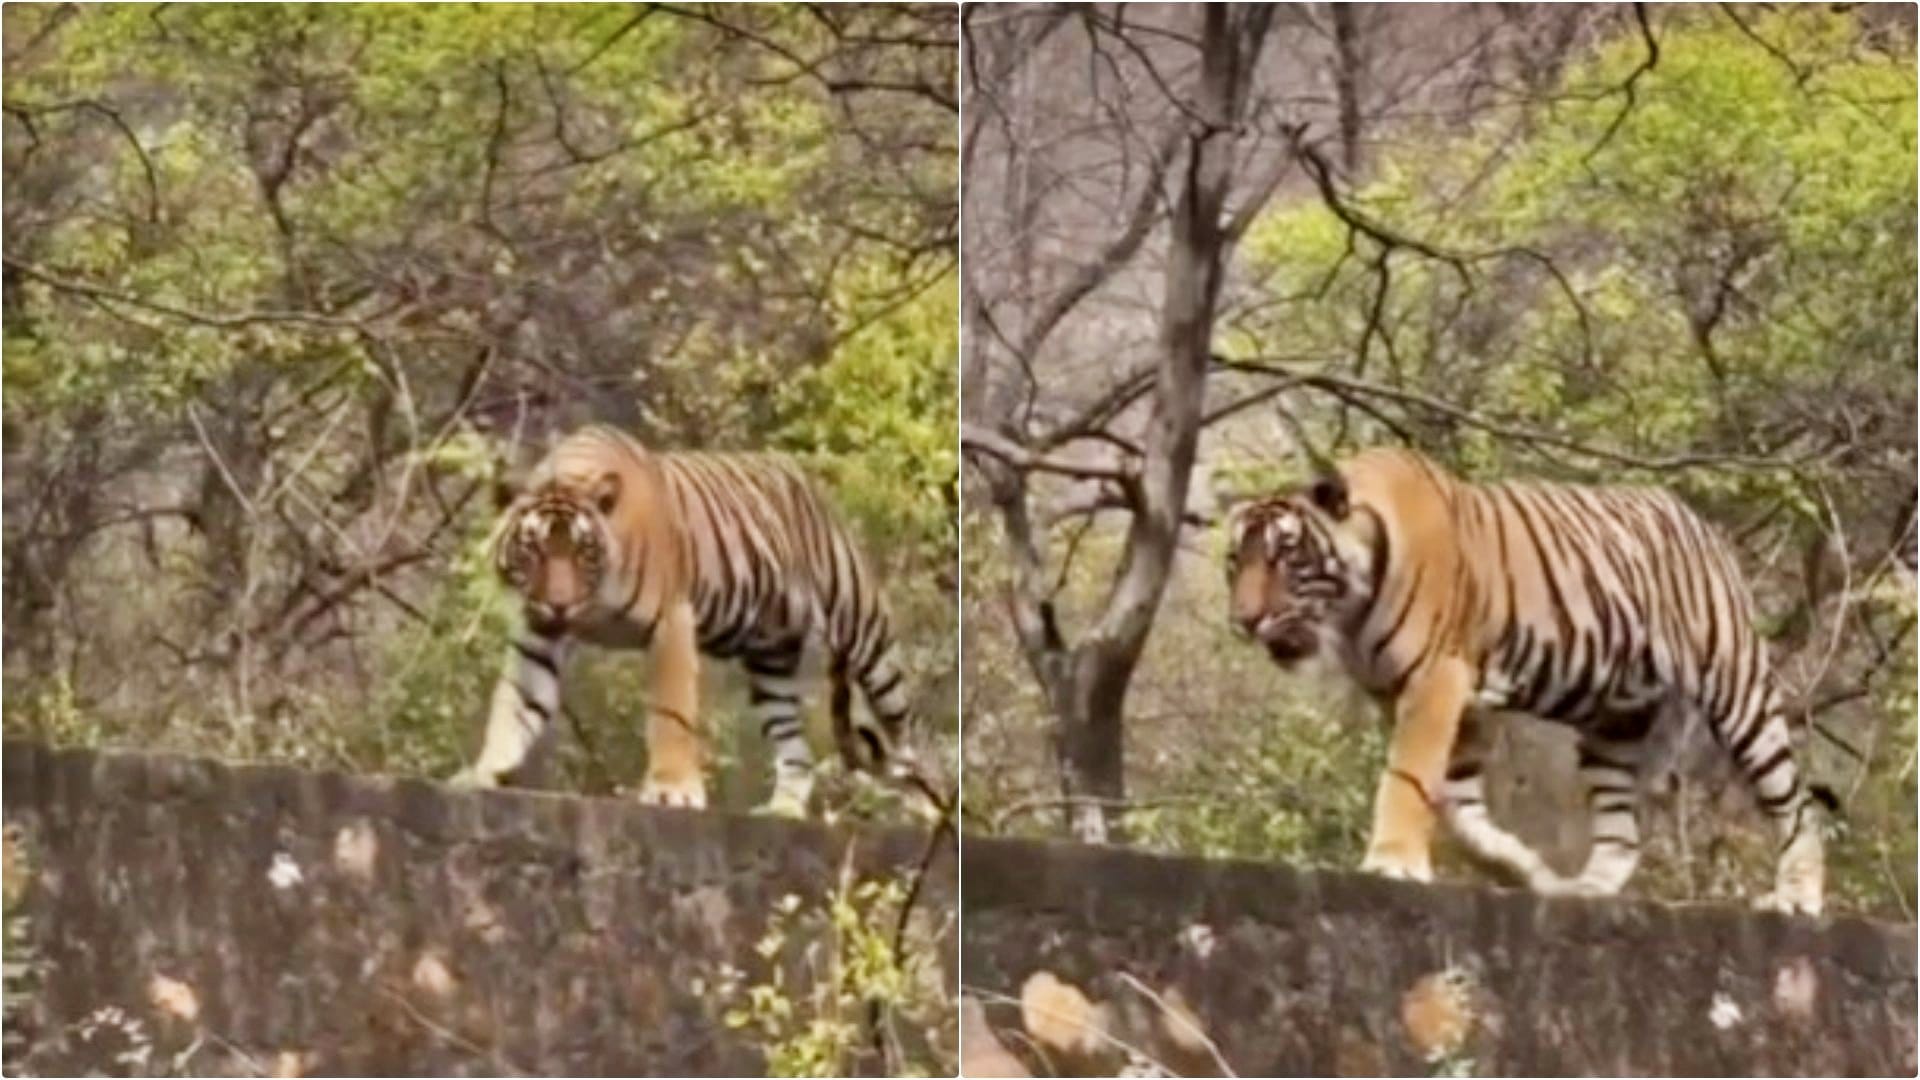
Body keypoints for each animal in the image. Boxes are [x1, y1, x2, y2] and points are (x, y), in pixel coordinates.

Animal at [449, 424, 914, 816]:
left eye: (583, 551)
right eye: (534, 550)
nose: (560, 604)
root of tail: (800, 474)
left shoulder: (671, 621)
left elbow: (670, 713)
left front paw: (671, 790)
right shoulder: (537, 636)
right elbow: (514, 705)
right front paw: (484, 771)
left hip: (863, 628)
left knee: (904, 726)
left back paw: (918, 806)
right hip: (771, 666)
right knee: (797, 750)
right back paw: (783, 810)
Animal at [1225, 447, 1826, 915]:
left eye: (1284, 558)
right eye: (1236, 561)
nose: (1244, 621)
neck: (1349, 613)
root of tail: (1694, 517)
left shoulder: (1434, 681)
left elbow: (1407, 778)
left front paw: (1391, 864)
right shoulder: (1439, 704)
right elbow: (1458, 809)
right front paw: (1530, 872)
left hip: (1736, 687)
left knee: (1795, 801)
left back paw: (1798, 896)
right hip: (1615, 721)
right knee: (1621, 831)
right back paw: (1587, 889)